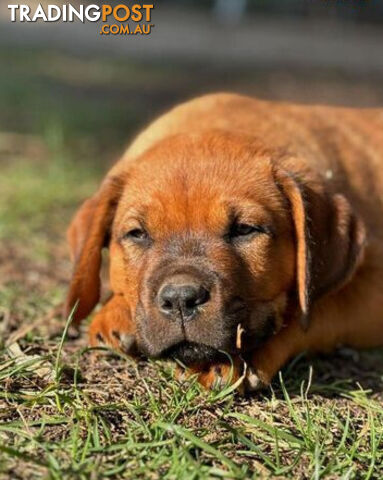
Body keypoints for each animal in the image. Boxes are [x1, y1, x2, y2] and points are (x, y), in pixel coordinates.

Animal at [64, 93, 383, 390]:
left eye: (244, 230)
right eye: (137, 234)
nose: (181, 299)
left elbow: (310, 311)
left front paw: (229, 359)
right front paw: (114, 314)